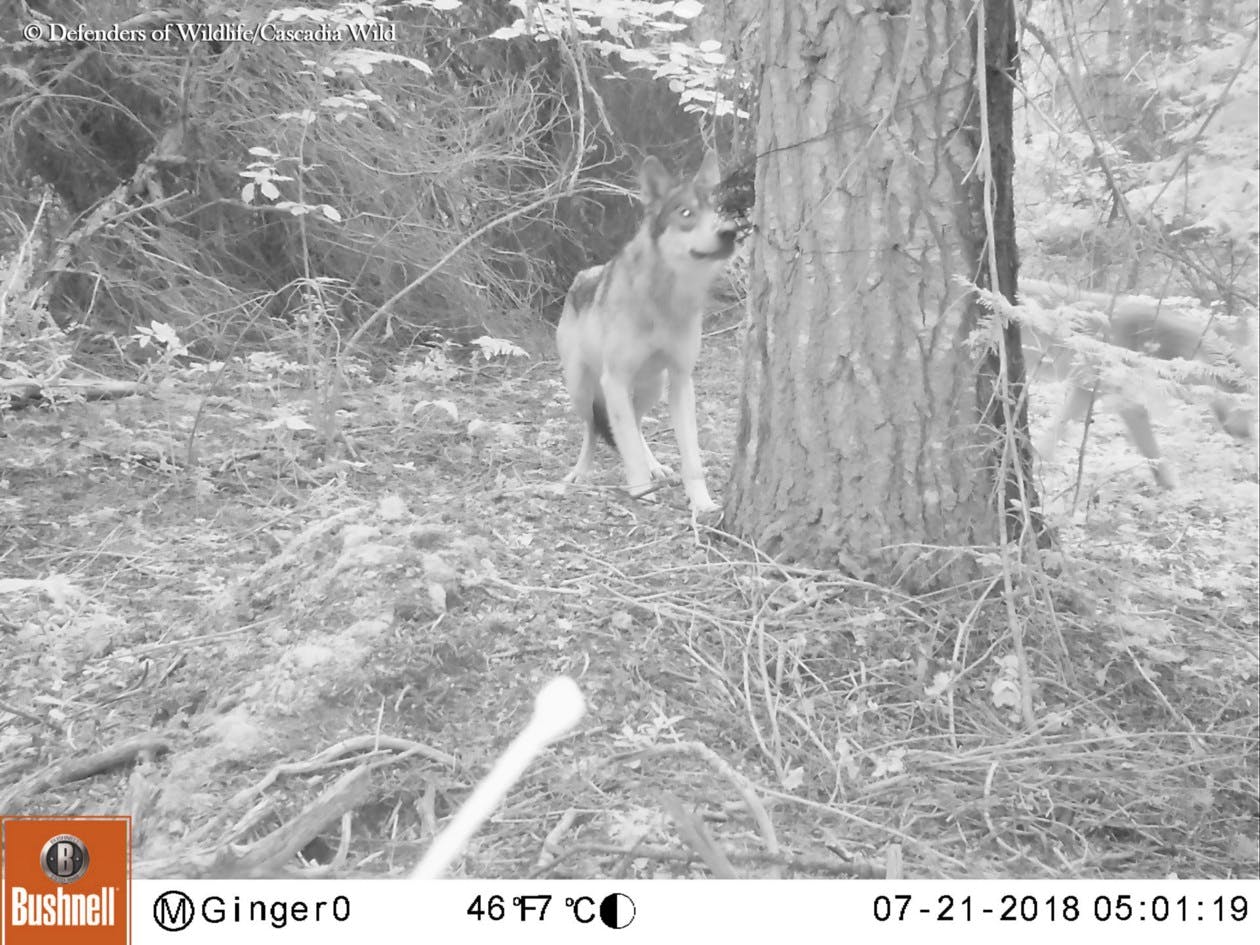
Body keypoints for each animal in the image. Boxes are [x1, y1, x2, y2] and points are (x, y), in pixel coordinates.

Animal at [556, 150, 738, 513]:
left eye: (720, 211)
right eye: (686, 213)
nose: (730, 232)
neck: (666, 300)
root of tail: (581, 277)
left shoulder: (682, 380)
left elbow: (690, 456)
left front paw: (703, 504)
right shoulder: (614, 380)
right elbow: (625, 444)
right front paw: (640, 492)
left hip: (653, 387)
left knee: (636, 426)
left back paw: (656, 467)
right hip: (583, 390)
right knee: (592, 431)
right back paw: (580, 473)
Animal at [1021, 279, 1257, 489]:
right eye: (1246, 403)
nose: (1248, 436)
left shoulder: (1088, 391)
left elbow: (1056, 430)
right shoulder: (1123, 399)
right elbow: (1151, 450)